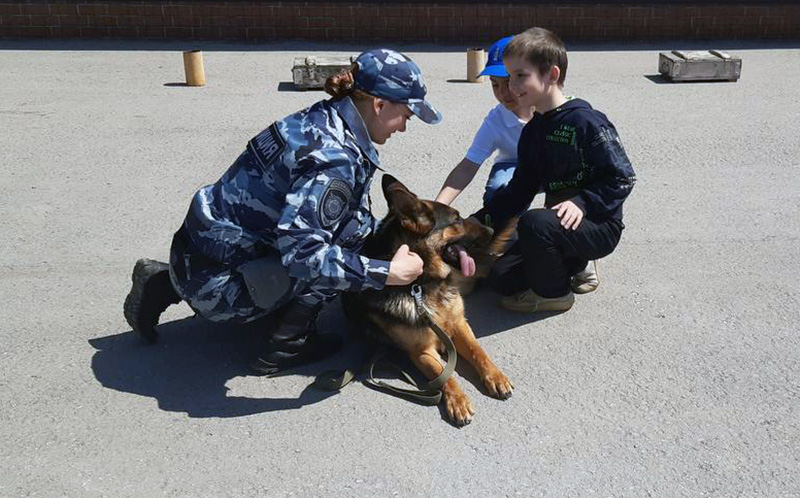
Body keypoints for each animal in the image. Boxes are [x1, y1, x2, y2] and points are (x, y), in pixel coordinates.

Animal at [342, 174, 512, 424]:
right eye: (457, 220)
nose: (490, 229)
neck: (421, 285)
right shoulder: (421, 351)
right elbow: (444, 374)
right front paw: (458, 401)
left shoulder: (460, 324)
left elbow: (477, 350)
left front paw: (495, 376)